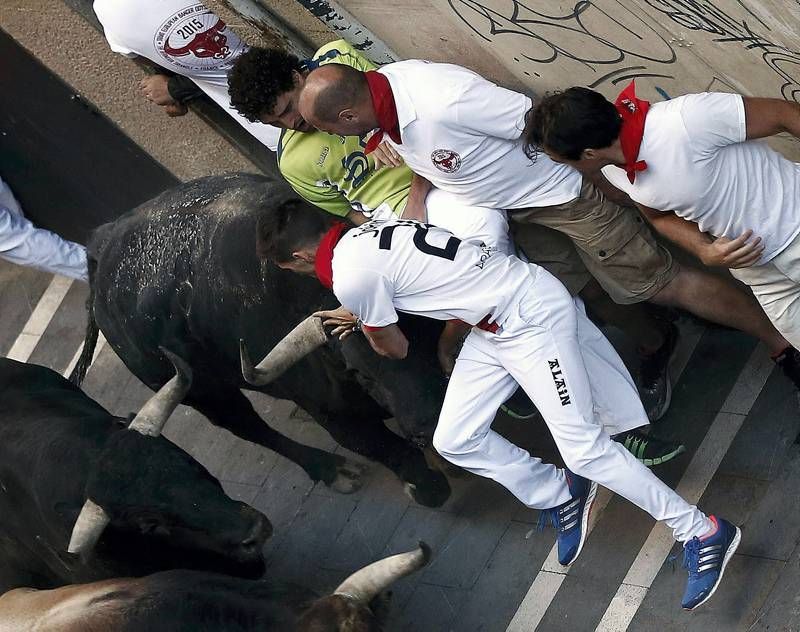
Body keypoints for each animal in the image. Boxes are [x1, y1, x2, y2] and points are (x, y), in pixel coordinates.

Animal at [71, 174, 450, 508]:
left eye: (426, 333)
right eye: (359, 372)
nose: (429, 425)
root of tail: (103, 243)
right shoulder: (337, 417)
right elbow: (392, 451)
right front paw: (427, 487)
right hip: (201, 392)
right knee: (250, 428)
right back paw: (332, 470)